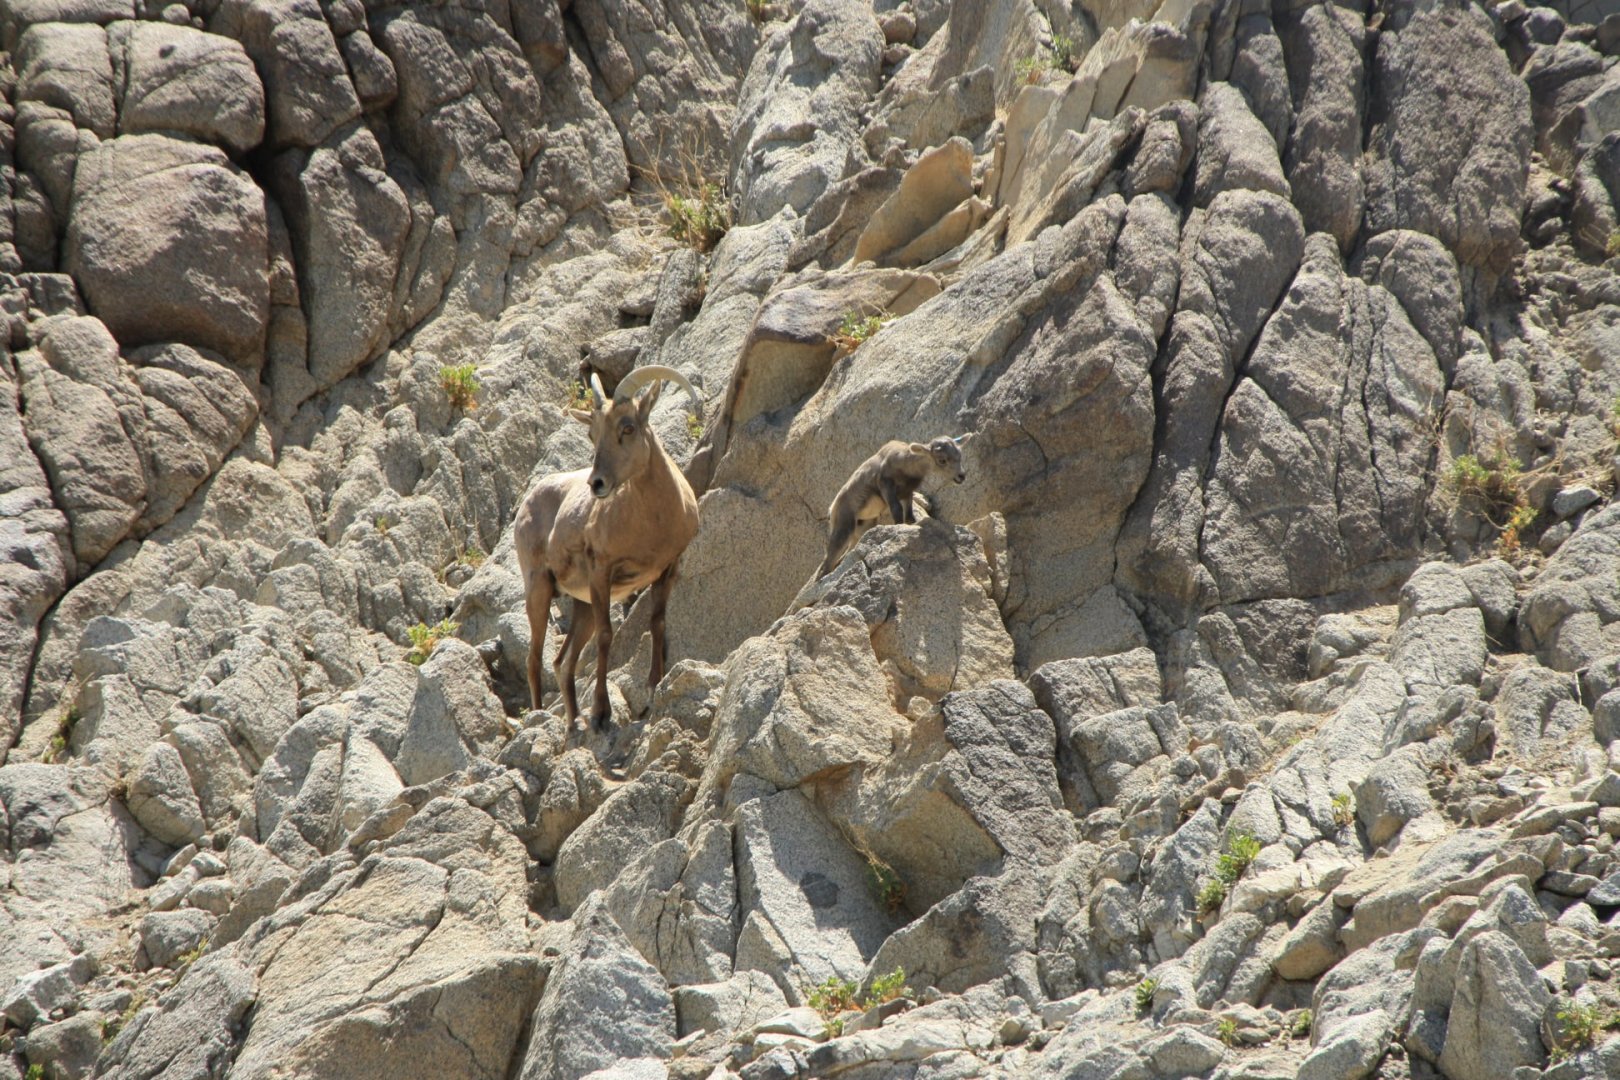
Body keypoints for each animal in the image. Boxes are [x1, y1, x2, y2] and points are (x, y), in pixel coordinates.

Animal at [513, 365, 702, 728]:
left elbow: (657, 623)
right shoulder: (602, 572)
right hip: (539, 590)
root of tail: (526, 503)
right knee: (533, 658)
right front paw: (601, 713)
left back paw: (574, 721)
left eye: (628, 427)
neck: (653, 522)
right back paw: (542, 718)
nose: (596, 484)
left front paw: (654, 686)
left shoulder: (667, 570)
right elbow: (606, 636)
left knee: (562, 662)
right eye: (592, 434)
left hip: (581, 605)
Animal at [818, 435, 972, 577]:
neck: (905, 463)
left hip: (863, 528)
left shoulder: (907, 493)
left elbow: (909, 517)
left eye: (959, 456)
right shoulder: (886, 485)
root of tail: (832, 510)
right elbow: (897, 510)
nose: (961, 476)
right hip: (843, 529)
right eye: (942, 460)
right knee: (827, 564)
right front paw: (898, 526)